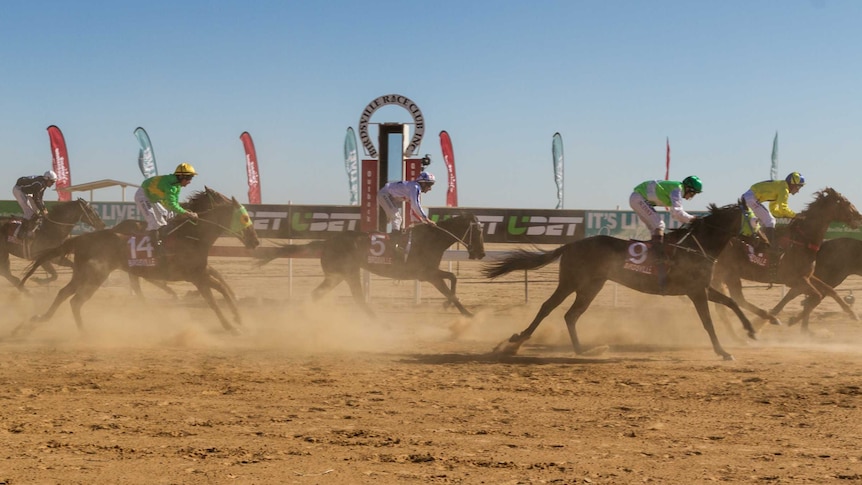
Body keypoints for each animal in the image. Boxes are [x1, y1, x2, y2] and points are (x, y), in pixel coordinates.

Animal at [16, 187, 258, 334]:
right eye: (244, 218)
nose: (255, 241)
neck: (191, 235)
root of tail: (82, 238)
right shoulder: (196, 276)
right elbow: (213, 299)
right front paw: (231, 326)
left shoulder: (201, 272)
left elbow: (222, 289)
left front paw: (238, 317)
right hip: (95, 275)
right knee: (75, 301)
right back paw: (85, 332)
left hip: (82, 274)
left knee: (63, 293)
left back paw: (39, 319)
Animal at [256, 216, 486, 318]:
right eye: (478, 232)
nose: (481, 254)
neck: (432, 239)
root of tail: (326, 242)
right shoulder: (427, 274)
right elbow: (451, 288)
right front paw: (468, 314)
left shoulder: (428, 274)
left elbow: (453, 278)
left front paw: (449, 306)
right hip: (348, 272)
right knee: (357, 298)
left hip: (336, 275)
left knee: (316, 295)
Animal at [486, 202, 764, 362]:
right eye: (754, 219)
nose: (764, 242)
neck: (697, 246)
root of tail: (571, 245)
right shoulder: (695, 291)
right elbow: (708, 322)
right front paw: (723, 351)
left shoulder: (703, 288)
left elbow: (731, 302)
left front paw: (751, 331)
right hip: (572, 281)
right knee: (548, 307)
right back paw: (517, 340)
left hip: (592, 285)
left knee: (571, 315)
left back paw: (584, 350)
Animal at [712, 187, 862, 328]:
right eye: (847, 202)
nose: (859, 217)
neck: (802, 241)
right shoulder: (794, 279)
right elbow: (817, 295)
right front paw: (793, 319)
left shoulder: (808, 276)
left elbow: (829, 290)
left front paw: (852, 314)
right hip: (727, 272)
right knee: (732, 299)